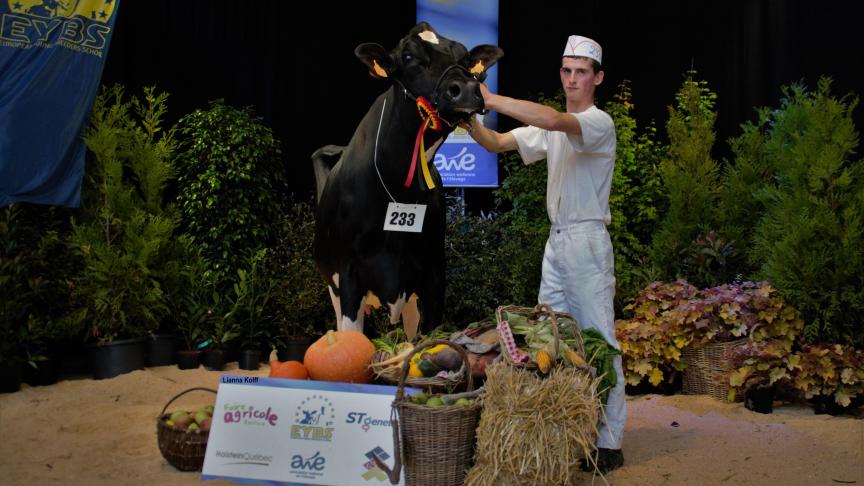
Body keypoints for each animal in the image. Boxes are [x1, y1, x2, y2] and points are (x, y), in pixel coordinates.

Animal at [312, 22, 502, 340]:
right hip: (331, 284)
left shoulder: (433, 272)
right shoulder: (349, 274)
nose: (466, 89)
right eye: (408, 57)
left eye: (465, 58)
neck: (397, 189)